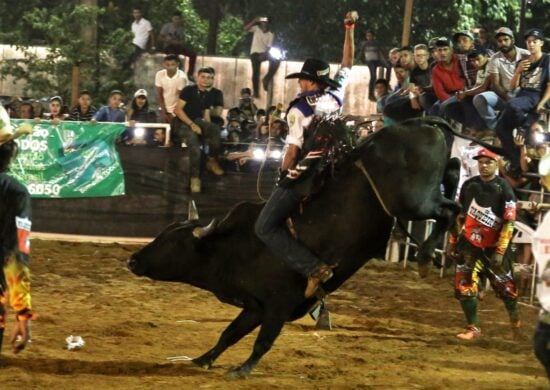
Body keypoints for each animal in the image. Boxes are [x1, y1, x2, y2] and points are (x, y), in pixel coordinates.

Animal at [129, 116, 496, 378]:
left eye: (170, 241)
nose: (133, 259)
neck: (234, 246)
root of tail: (419, 123)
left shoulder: (277, 305)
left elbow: (263, 341)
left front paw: (242, 369)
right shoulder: (255, 306)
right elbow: (229, 333)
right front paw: (202, 359)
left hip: (413, 202)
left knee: (450, 209)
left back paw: (424, 255)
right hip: (423, 192)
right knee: (453, 176)